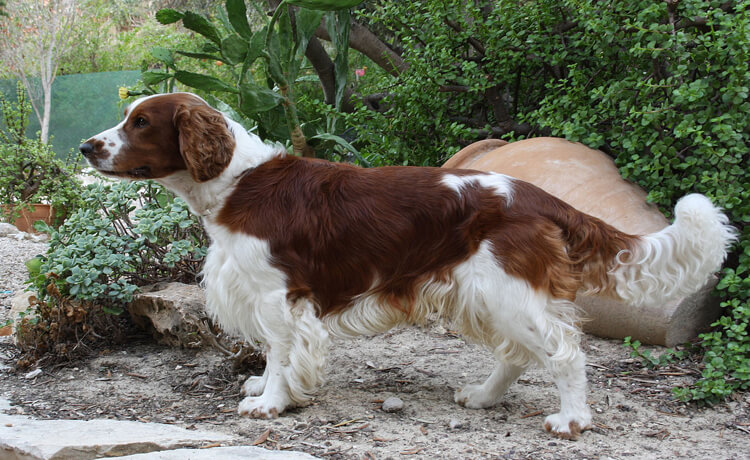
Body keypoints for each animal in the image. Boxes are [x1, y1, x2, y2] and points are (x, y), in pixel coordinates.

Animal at [79, 92, 736, 438]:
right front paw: (269, 389)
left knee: (563, 353)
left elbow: (281, 352)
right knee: (519, 354)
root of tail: (539, 195)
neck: (238, 183)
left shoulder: (277, 295)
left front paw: (270, 403)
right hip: (485, 294)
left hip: (504, 291)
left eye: (141, 122)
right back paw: (483, 397)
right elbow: (274, 356)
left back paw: (570, 420)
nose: (86, 146)